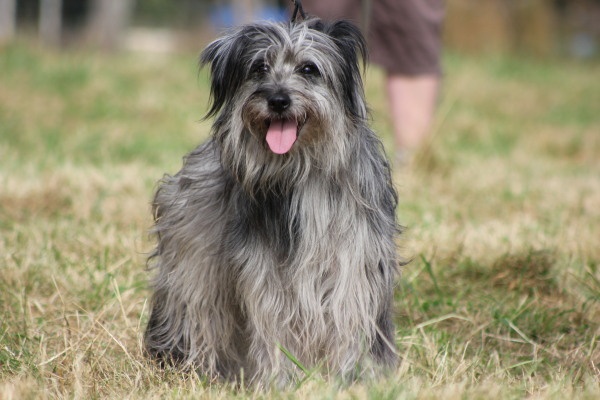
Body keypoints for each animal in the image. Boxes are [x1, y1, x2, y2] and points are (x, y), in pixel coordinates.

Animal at [144, 17, 400, 386]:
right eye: (259, 67)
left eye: (309, 69)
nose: (278, 100)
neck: (299, 169)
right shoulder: (264, 269)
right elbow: (272, 320)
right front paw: (280, 381)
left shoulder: (352, 257)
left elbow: (346, 313)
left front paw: (348, 377)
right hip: (192, 264)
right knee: (197, 311)